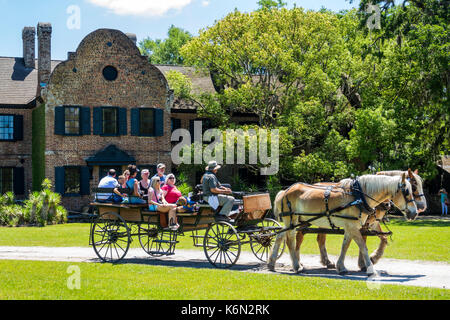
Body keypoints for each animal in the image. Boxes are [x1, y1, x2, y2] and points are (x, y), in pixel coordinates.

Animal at [268, 174, 418, 276]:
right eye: (406, 192)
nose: (414, 212)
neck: (358, 196)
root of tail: (285, 191)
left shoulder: (351, 226)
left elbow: (345, 246)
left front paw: (341, 267)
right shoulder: (353, 226)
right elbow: (363, 246)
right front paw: (370, 269)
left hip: (293, 221)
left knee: (280, 236)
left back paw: (271, 263)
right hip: (292, 220)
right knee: (290, 240)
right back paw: (296, 266)